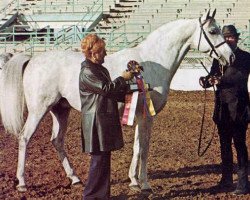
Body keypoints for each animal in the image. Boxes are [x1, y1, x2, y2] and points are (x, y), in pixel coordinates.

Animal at [0, 9, 234, 192]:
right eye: (212, 31)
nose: (230, 57)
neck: (154, 60)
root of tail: (33, 59)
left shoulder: (140, 114)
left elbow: (137, 147)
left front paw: (134, 181)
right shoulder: (147, 116)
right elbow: (144, 149)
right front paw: (145, 184)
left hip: (60, 110)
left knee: (57, 141)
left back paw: (75, 179)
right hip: (39, 110)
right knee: (24, 138)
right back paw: (22, 183)